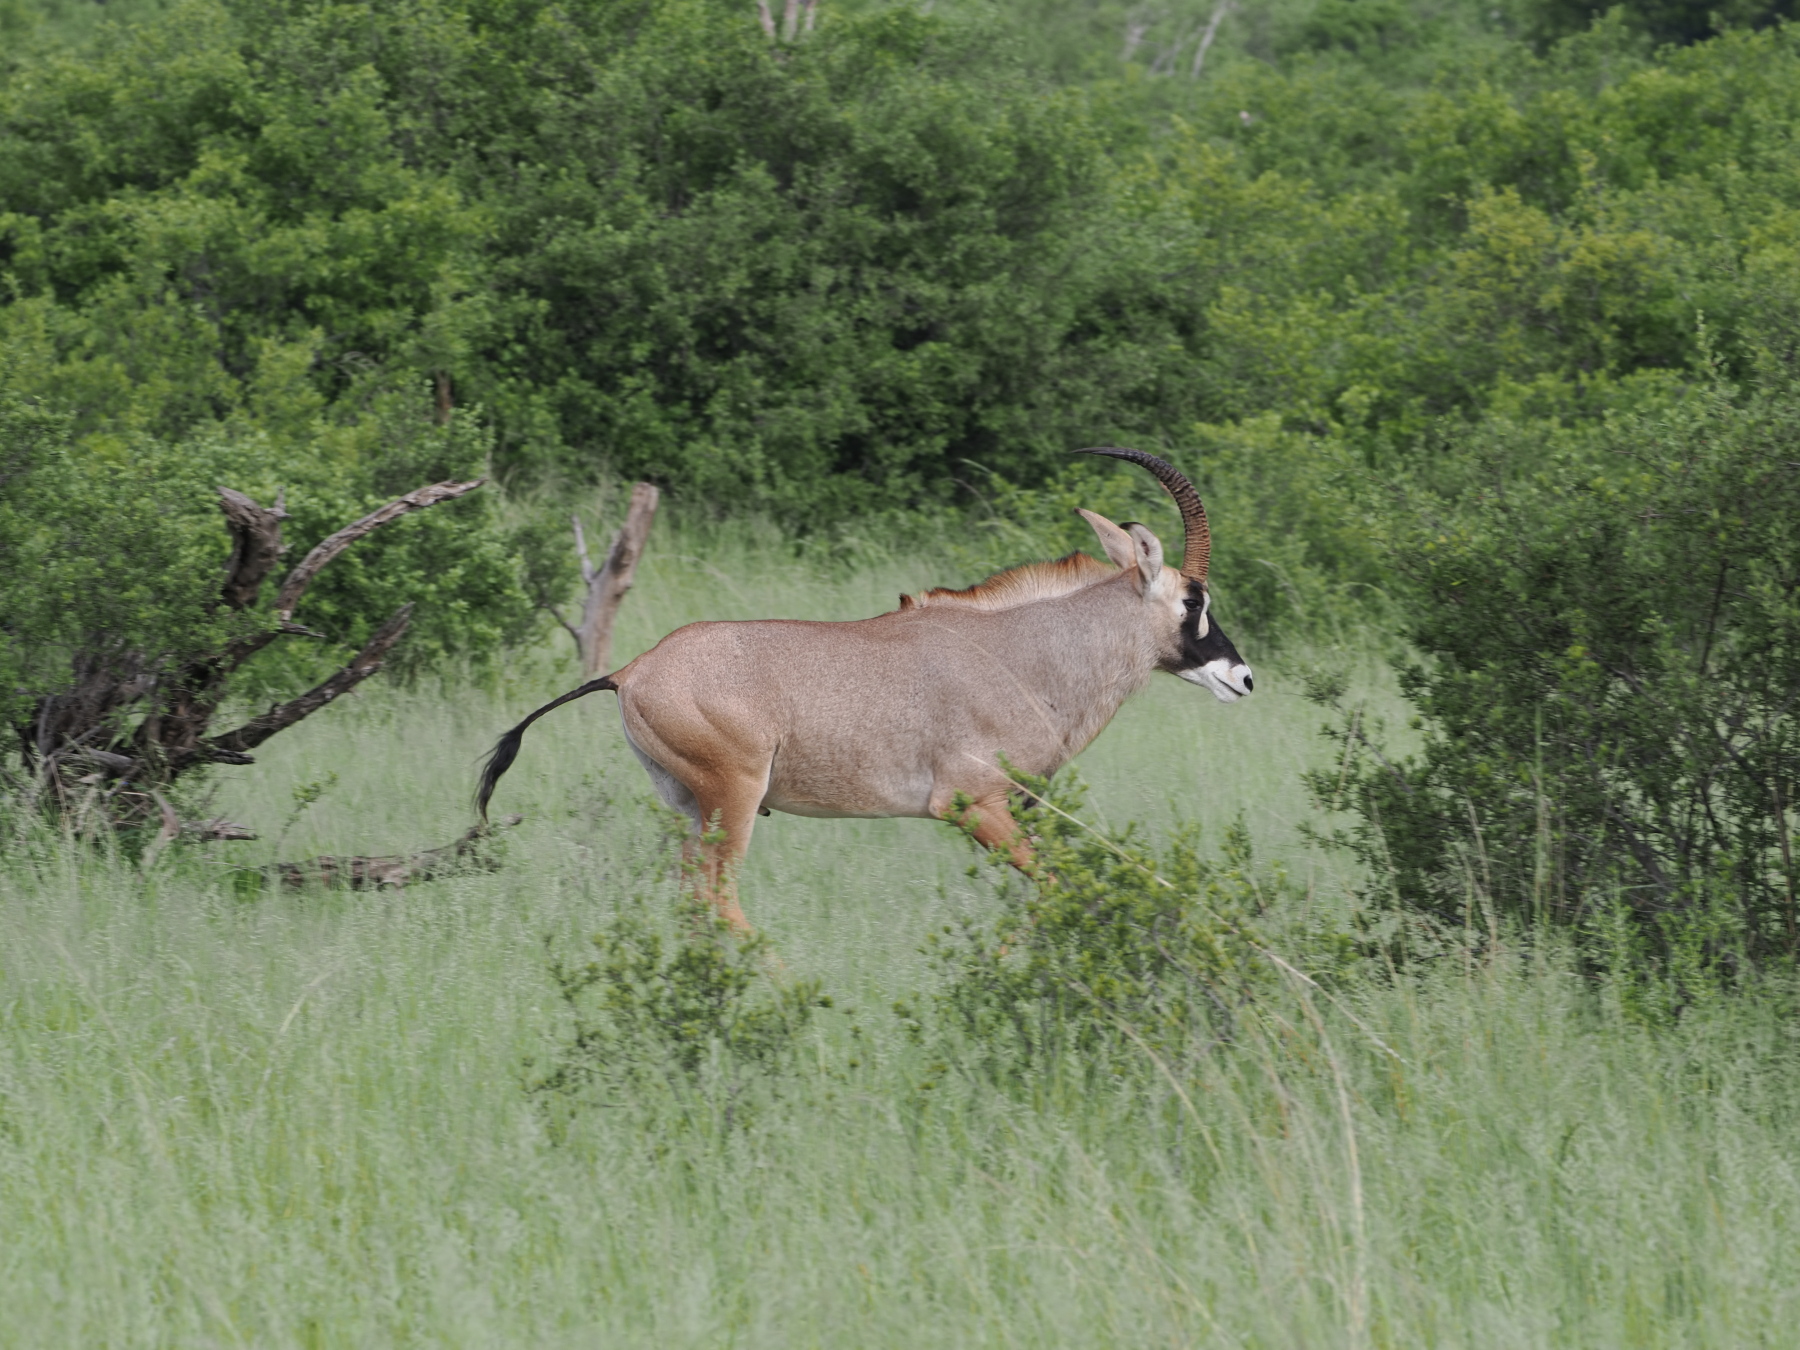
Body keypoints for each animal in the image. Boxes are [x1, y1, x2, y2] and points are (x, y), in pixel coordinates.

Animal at [477, 448, 1253, 930]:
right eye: (1193, 600)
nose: (1242, 678)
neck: (1022, 654)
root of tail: (631, 669)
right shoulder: (972, 806)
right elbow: (1054, 890)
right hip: (734, 798)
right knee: (716, 898)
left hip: (687, 808)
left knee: (690, 896)